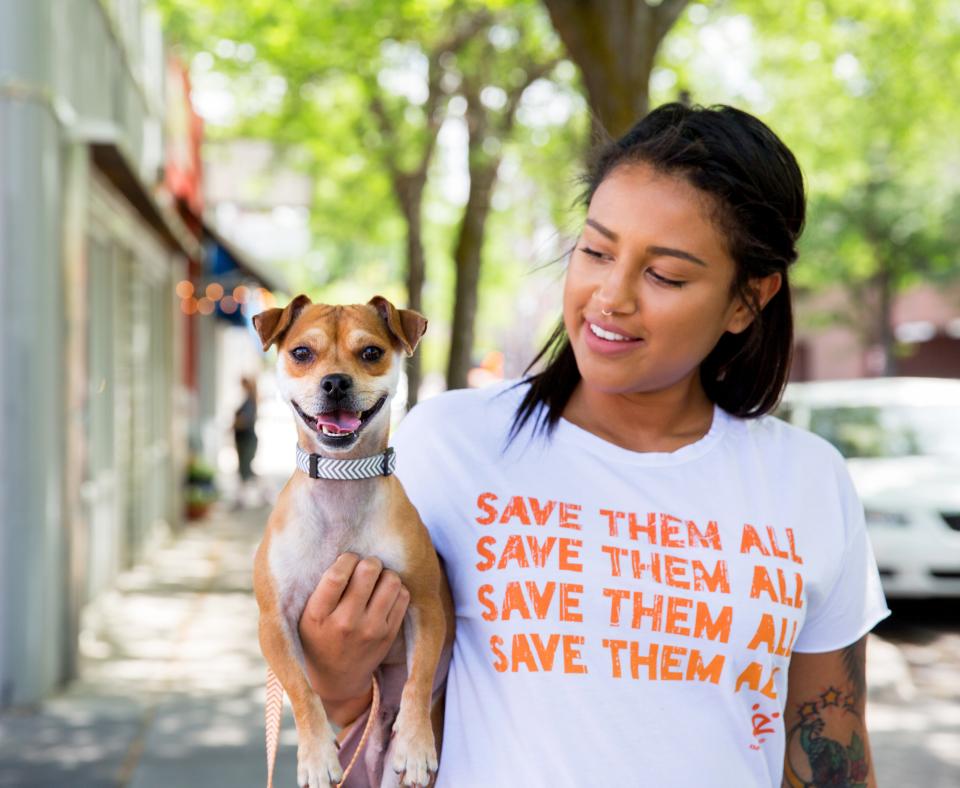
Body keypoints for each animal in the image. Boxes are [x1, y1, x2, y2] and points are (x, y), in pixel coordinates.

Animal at [251, 298, 454, 788]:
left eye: (371, 353)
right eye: (302, 353)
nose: (335, 381)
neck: (342, 484)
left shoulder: (424, 606)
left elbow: (419, 678)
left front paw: (416, 744)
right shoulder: (274, 622)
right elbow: (302, 690)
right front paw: (316, 755)